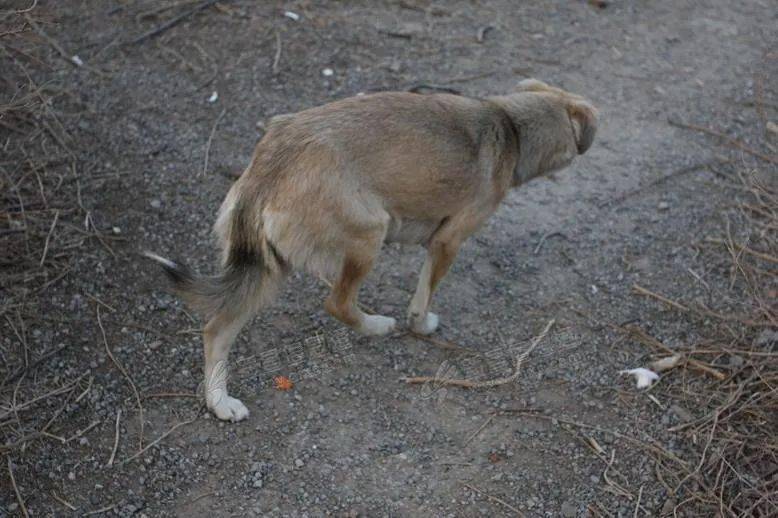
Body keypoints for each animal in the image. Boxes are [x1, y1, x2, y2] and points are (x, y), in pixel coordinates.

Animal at [144, 80, 596, 422]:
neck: (510, 126)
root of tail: (267, 170)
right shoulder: (447, 241)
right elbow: (423, 295)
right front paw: (420, 324)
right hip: (369, 235)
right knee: (338, 303)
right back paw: (377, 326)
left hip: (266, 267)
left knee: (217, 329)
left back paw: (220, 403)